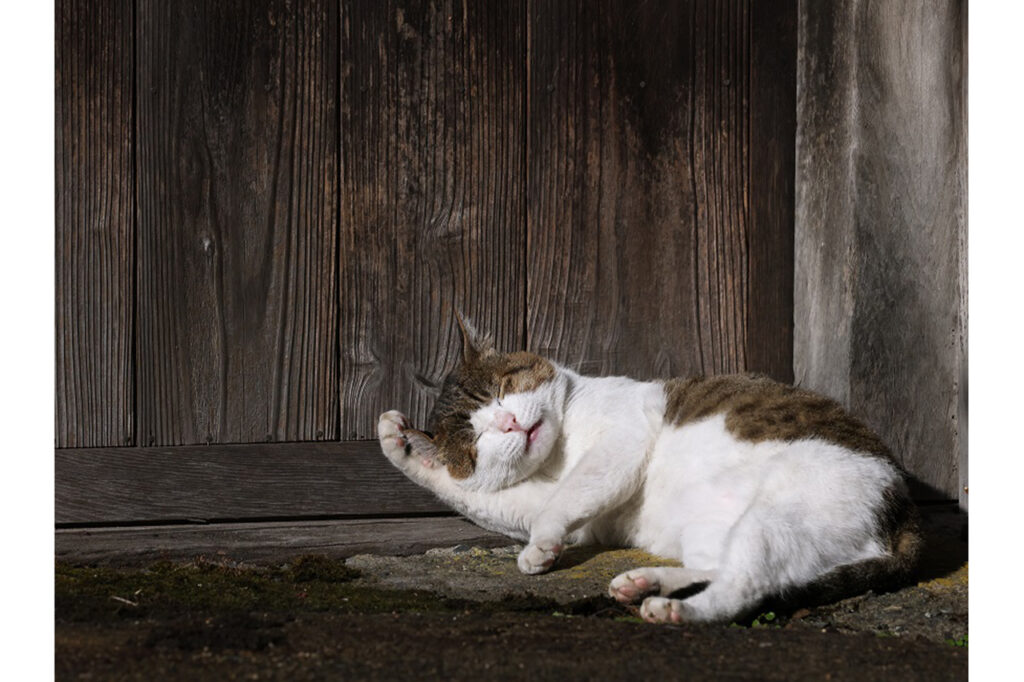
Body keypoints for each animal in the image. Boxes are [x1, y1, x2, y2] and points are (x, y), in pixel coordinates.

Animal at [376, 315, 921, 622]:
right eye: (475, 441)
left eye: (503, 390)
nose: (508, 423)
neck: (559, 454)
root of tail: (901, 508)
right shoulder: (544, 504)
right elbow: (482, 496)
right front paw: (395, 442)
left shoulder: (622, 440)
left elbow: (566, 497)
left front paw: (539, 550)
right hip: (713, 526)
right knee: (725, 567)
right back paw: (648, 583)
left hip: (778, 515)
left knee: (749, 587)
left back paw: (674, 609)